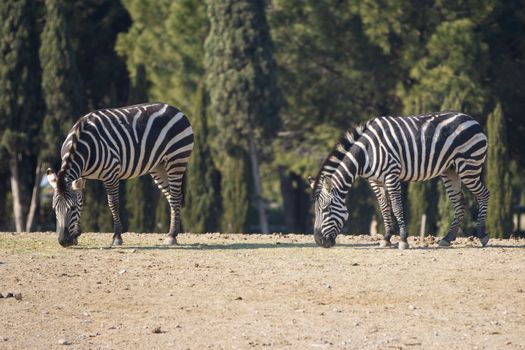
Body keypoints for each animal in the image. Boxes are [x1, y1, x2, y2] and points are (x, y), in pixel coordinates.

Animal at [46, 102, 193, 247]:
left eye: (72, 208)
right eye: (54, 209)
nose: (63, 241)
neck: (83, 145)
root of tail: (176, 109)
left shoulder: (111, 173)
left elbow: (113, 204)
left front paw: (117, 237)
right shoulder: (81, 175)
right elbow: (81, 200)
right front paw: (76, 234)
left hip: (176, 159)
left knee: (175, 196)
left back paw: (172, 236)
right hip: (159, 167)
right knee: (172, 196)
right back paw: (173, 233)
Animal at [310, 112, 490, 249]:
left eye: (325, 210)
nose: (319, 241)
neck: (366, 153)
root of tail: (471, 119)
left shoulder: (391, 174)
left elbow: (396, 207)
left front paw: (403, 240)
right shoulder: (375, 181)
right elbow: (384, 208)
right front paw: (386, 238)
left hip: (469, 166)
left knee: (484, 194)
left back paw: (482, 235)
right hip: (450, 170)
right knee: (459, 202)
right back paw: (447, 238)